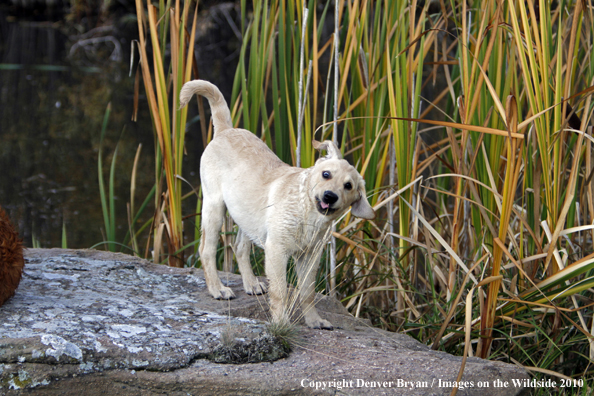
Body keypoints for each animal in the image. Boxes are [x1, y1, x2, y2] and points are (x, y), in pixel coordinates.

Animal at [178, 79, 372, 328]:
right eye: (326, 174)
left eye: (348, 186)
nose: (330, 196)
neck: (307, 215)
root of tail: (226, 130)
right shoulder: (277, 252)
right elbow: (280, 291)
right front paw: (281, 323)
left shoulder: (310, 257)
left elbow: (306, 292)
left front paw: (314, 320)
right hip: (214, 207)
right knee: (207, 250)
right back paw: (217, 289)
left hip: (245, 216)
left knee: (239, 248)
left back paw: (251, 284)